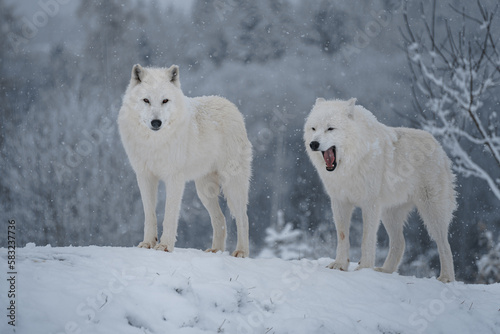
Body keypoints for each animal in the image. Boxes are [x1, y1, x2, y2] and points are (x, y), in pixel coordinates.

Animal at [118, 65, 252, 258]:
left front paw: (165, 246)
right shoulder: (145, 177)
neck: (155, 142)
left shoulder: (174, 178)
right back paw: (215, 250)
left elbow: (169, 215)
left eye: (165, 100)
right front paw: (148, 243)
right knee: (220, 218)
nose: (156, 122)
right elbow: (149, 214)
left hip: (233, 185)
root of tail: (230, 104)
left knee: (243, 217)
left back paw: (241, 251)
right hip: (204, 190)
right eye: (146, 100)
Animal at [302, 97, 458, 282]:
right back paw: (384, 271)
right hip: (390, 214)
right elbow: (342, 235)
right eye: (313, 128)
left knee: (444, 244)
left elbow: (367, 238)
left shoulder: (370, 204)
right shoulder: (340, 202)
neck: (350, 165)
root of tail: (438, 145)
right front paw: (340, 265)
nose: (313, 144)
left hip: (431, 212)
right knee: (400, 242)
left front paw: (364, 268)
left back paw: (446, 278)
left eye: (330, 128)